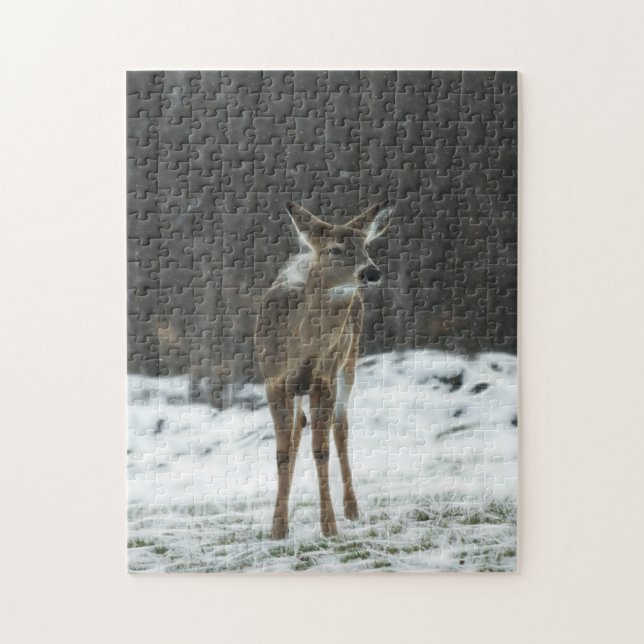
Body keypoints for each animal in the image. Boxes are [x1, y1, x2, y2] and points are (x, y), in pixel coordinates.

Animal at [255, 200, 394, 539]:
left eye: (365, 246)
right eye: (335, 249)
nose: (371, 272)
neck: (299, 350)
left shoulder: (324, 379)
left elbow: (321, 450)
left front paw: (329, 525)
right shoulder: (273, 381)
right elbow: (282, 453)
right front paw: (278, 528)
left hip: (348, 362)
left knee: (340, 429)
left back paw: (352, 509)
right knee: (298, 429)